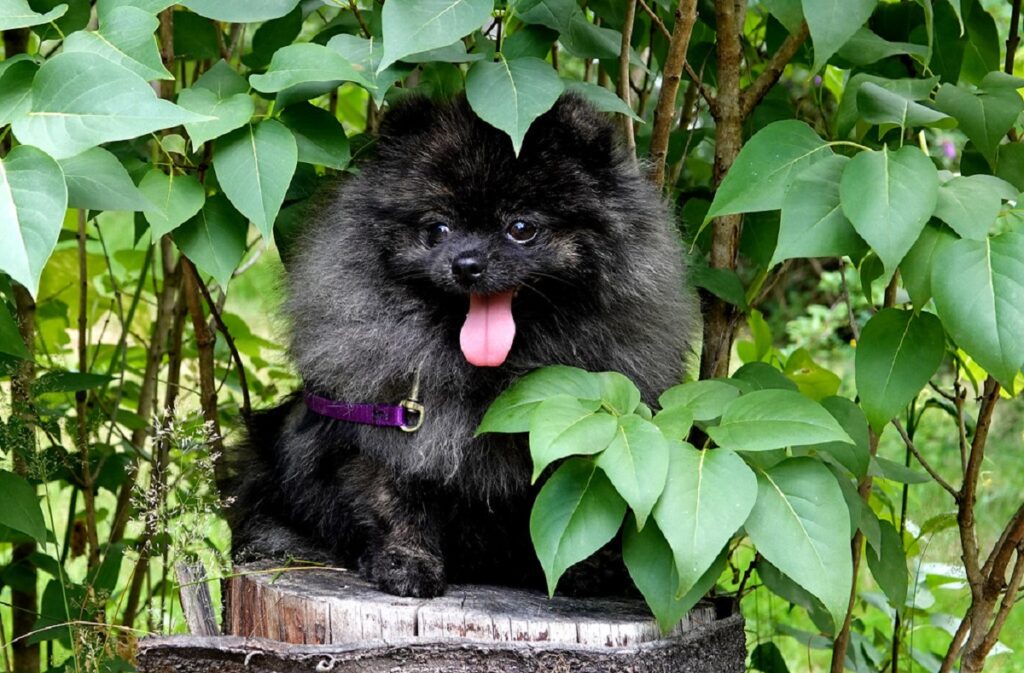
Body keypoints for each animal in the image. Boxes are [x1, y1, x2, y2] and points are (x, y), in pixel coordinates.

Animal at [226, 91, 696, 594]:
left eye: (521, 228)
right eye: (438, 229)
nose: (467, 264)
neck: (490, 381)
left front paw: (584, 569)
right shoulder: (384, 439)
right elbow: (392, 502)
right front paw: (406, 562)